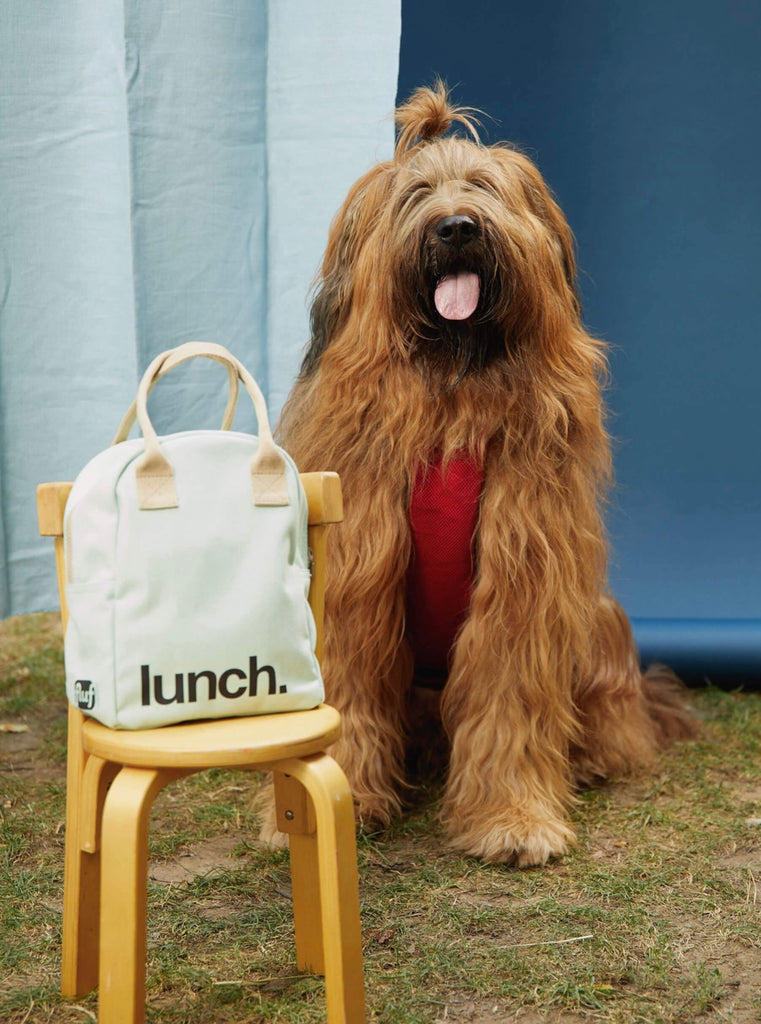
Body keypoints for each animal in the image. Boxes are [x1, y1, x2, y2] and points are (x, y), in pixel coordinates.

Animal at [274, 86, 696, 864]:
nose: (456, 229)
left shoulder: (524, 571)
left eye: (483, 188)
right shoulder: (355, 576)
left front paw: (513, 819)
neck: (452, 391)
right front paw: (343, 806)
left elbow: (511, 697)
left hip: (596, 617)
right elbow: (350, 683)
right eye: (416, 194)